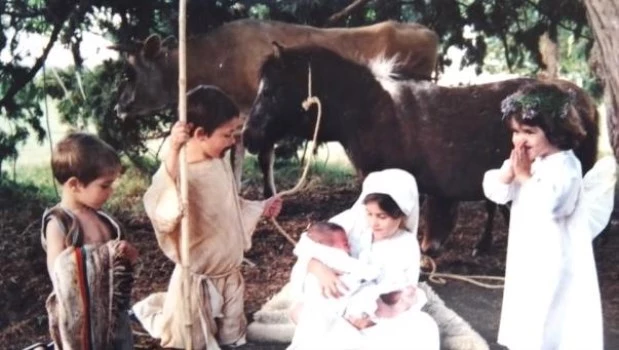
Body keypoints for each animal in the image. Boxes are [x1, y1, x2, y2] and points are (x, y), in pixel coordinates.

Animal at [112, 18, 440, 194]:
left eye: (130, 73)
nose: (118, 108)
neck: (217, 57)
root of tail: (426, 31)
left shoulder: (248, 110)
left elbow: (253, 155)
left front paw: (258, 192)